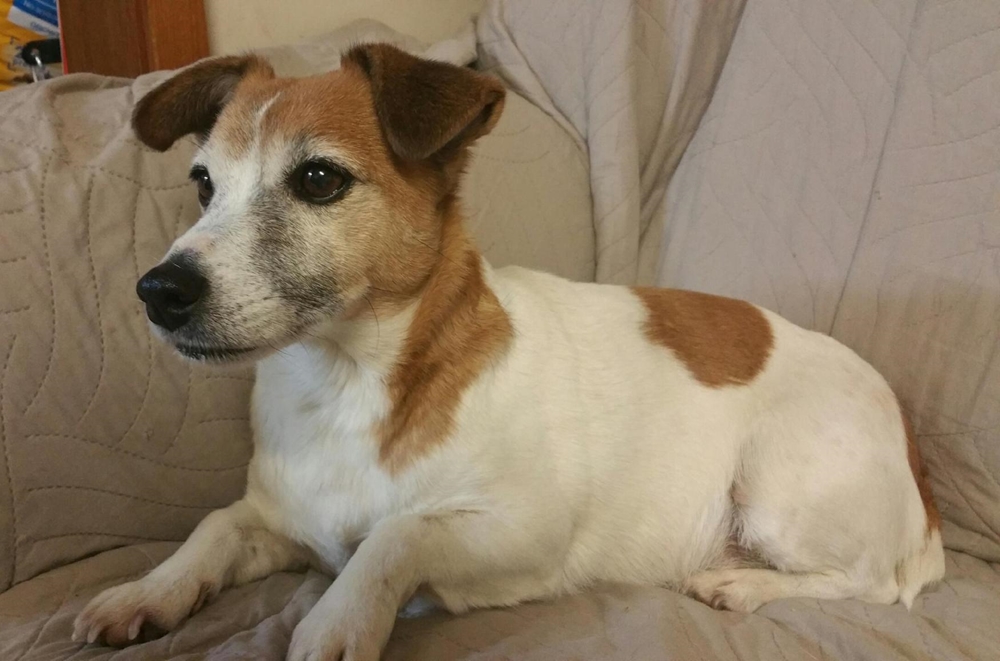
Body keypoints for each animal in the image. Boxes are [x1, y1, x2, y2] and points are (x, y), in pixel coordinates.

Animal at [72, 44, 944, 661]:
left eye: (318, 179)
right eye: (202, 185)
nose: (157, 290)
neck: (345, 381)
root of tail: (920, 482)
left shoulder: (524, 530)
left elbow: (396, 534)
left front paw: (337, 617)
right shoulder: (277, 517)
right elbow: (214, 526)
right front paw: (146, 591)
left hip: (775, 486)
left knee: (871, 583)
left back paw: (740, 584)